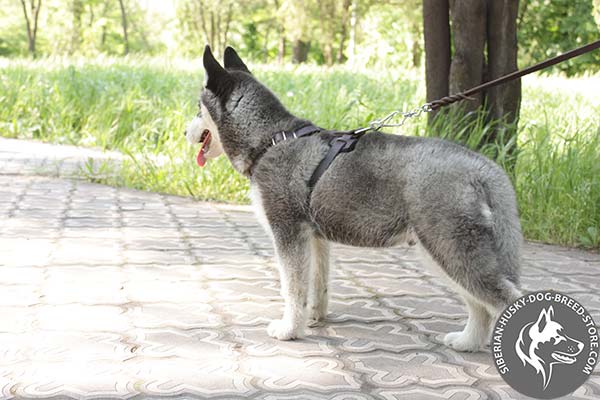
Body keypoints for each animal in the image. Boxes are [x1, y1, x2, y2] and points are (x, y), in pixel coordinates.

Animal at [185, 47, 524, 352]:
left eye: (198, 109)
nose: (185, 131)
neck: (271, 139)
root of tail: (482, 165)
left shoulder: (288, 233)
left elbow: (292, 289)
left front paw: (290, 329)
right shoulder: (315, 238)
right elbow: (317, 284)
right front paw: (313, 318)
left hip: (450, 249)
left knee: (503, 297)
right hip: (443, 253)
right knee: (479, 304)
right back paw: (468, 342)